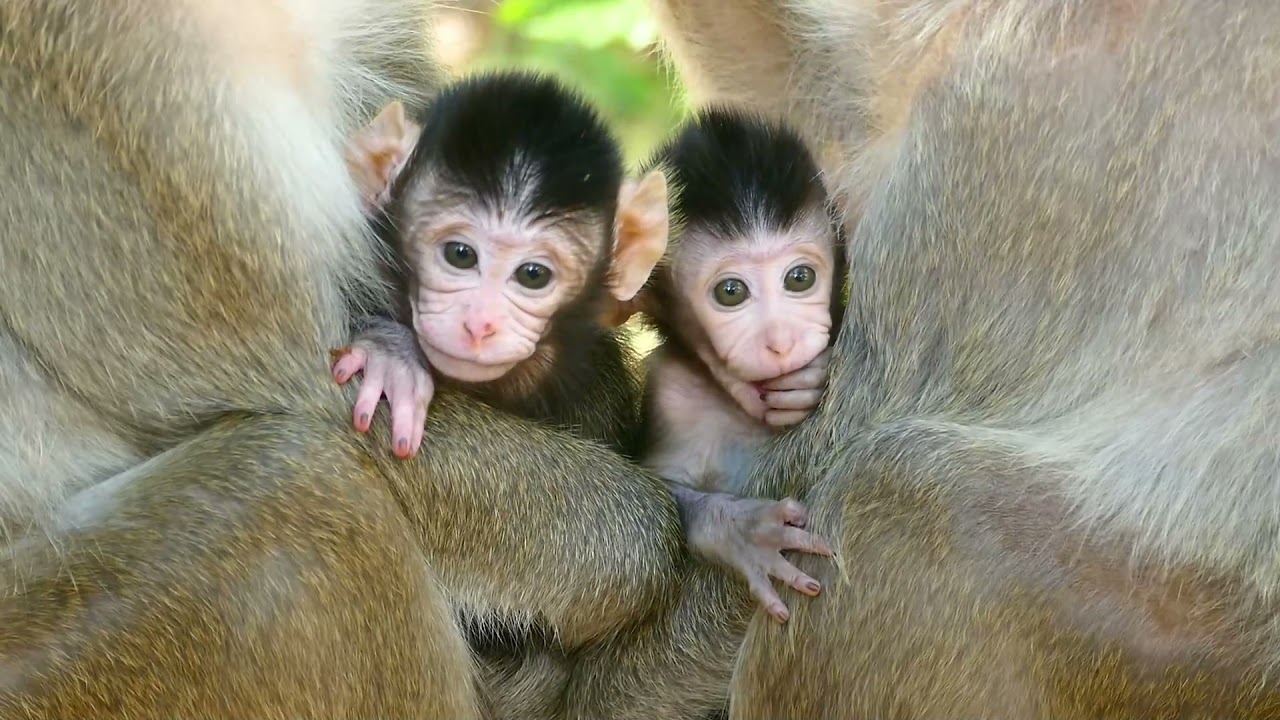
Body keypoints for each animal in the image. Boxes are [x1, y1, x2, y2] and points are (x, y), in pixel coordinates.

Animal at [633, 107, 845, 624]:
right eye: (731, 292)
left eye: (800, 278)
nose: (781, 341)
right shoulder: (672, 394)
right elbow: (660, 490)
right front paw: (741, 530)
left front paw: (807, 382)